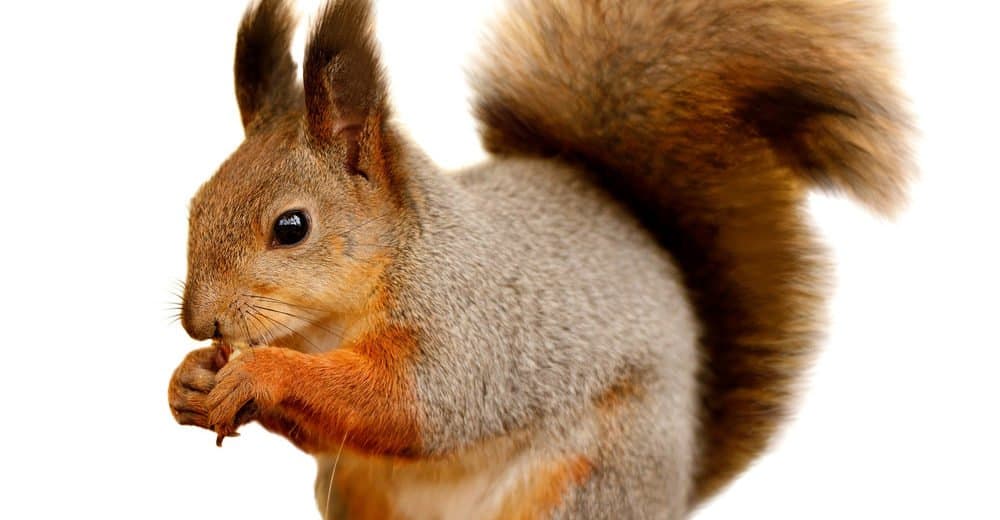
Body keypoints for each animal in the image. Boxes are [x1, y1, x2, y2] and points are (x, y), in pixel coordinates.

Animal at [168, 0, 911, 518]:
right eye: (196, 203)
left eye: (291, 227)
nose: (200, 321)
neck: (330, 322)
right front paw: (188, 380)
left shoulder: (468, 328)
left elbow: (410, 402)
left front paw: (262, 371)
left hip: (587, 485)